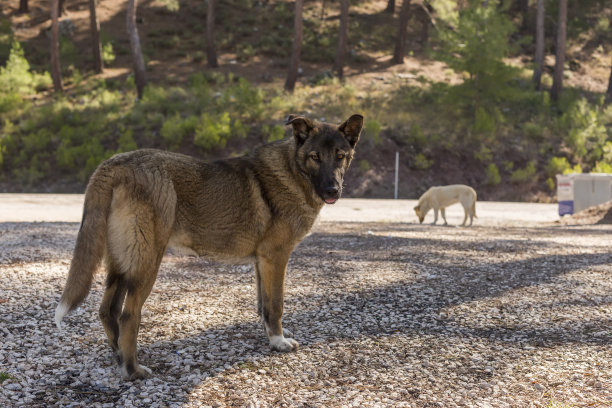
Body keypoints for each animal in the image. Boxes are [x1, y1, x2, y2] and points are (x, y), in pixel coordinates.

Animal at [55, 114, 360, 380]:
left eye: (341, 156)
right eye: (315, 157)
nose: (333, 190)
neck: (293, 171)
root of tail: (114, 164)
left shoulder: (262, 262)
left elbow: (263, 306)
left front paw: (270, 338)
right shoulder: (276, 258)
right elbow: (276, 305)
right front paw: (279, 342)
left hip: (122, 263)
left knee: (108, 311)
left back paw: (119, 356)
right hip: (146, 263)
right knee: (129, 315)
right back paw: (132, 370)